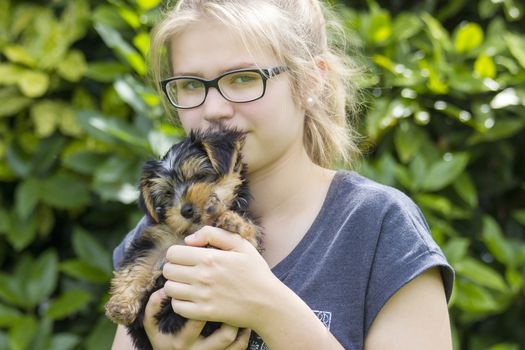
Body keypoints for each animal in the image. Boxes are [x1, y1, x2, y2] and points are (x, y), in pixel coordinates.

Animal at [105, 128, 260, 350]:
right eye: (168, 194)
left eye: (200, 176)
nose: (186, 210)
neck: (191, 231)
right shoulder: (157, 241)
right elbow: (137, 266)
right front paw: (121, 305)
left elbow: (248, 233)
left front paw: (232, 220)